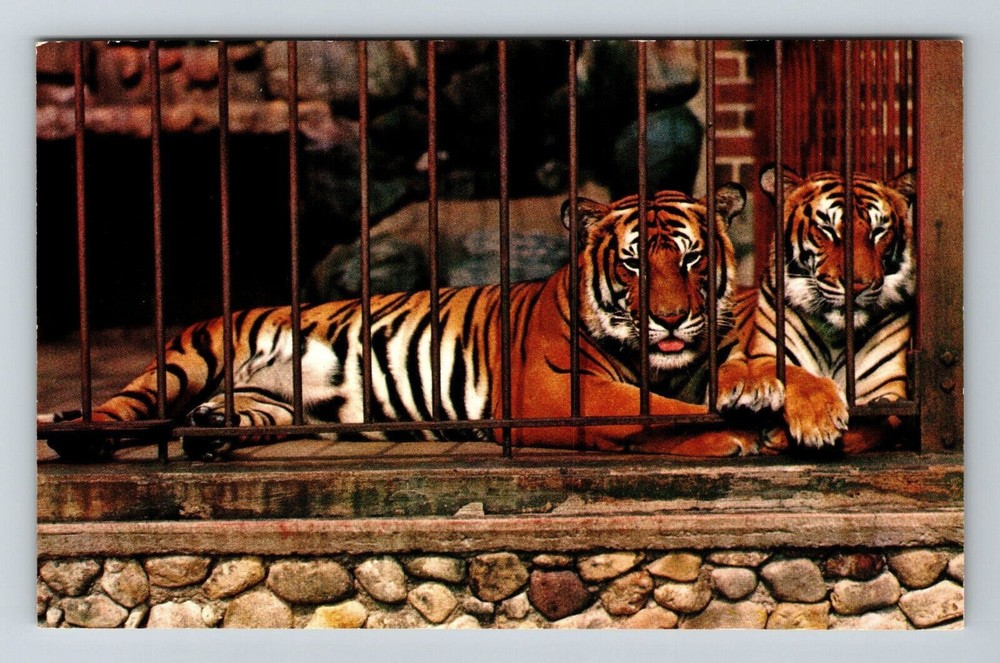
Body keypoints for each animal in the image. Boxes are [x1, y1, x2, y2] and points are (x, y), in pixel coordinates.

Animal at [45, 184, 767, 461]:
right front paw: (732, 434)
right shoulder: (550, 389)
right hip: (189, 356)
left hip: (267, 406)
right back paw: (80, 436)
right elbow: (651, 411)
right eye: (634, 263)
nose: (671, 320)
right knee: (126, 405)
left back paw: (206, 435)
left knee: (222, 418)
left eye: (693, 258)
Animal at [717, 165, 916, 450]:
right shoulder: (767, 356)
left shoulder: (889, 391)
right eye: (828, 230)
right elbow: (796, 375)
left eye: (878, 231)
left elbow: (876, 425)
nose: (857, 284)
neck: (837, 336)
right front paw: (819, 420)